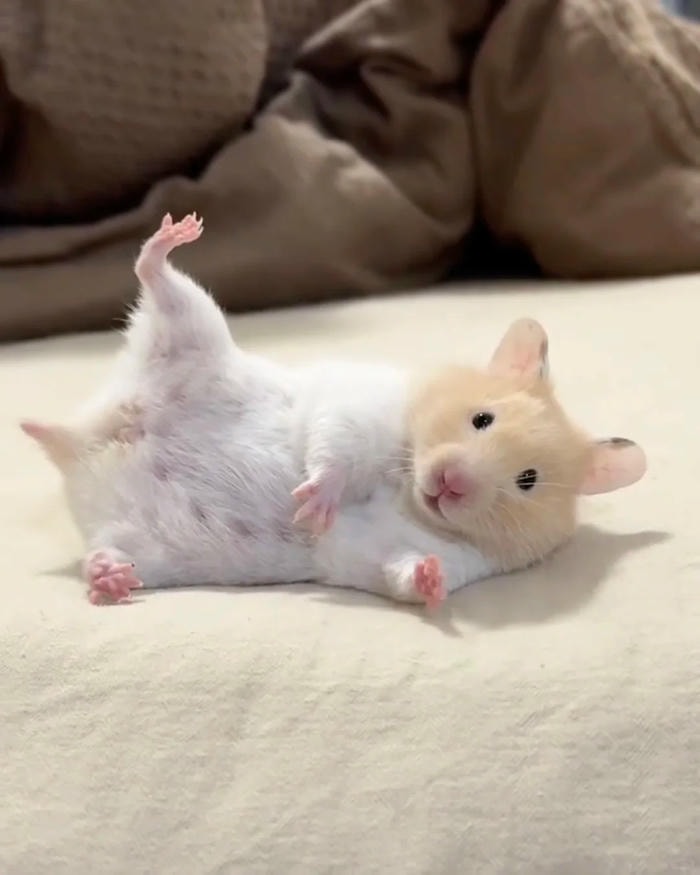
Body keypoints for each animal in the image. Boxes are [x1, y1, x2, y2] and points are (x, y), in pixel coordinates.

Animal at [21, 213, 647, 609]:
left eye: (528, 481)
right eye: (481, 419)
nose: (449, 483)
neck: (407, 485)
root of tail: (86, 439)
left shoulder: (420, 554)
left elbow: (402, 568)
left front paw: (431, 581)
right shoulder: (361, 404)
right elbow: (335, 450)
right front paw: (311, 505)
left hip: (142, 545)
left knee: (103, 551)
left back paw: (108, 579)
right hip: (192, 327)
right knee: (154, 275)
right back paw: (176, 235)